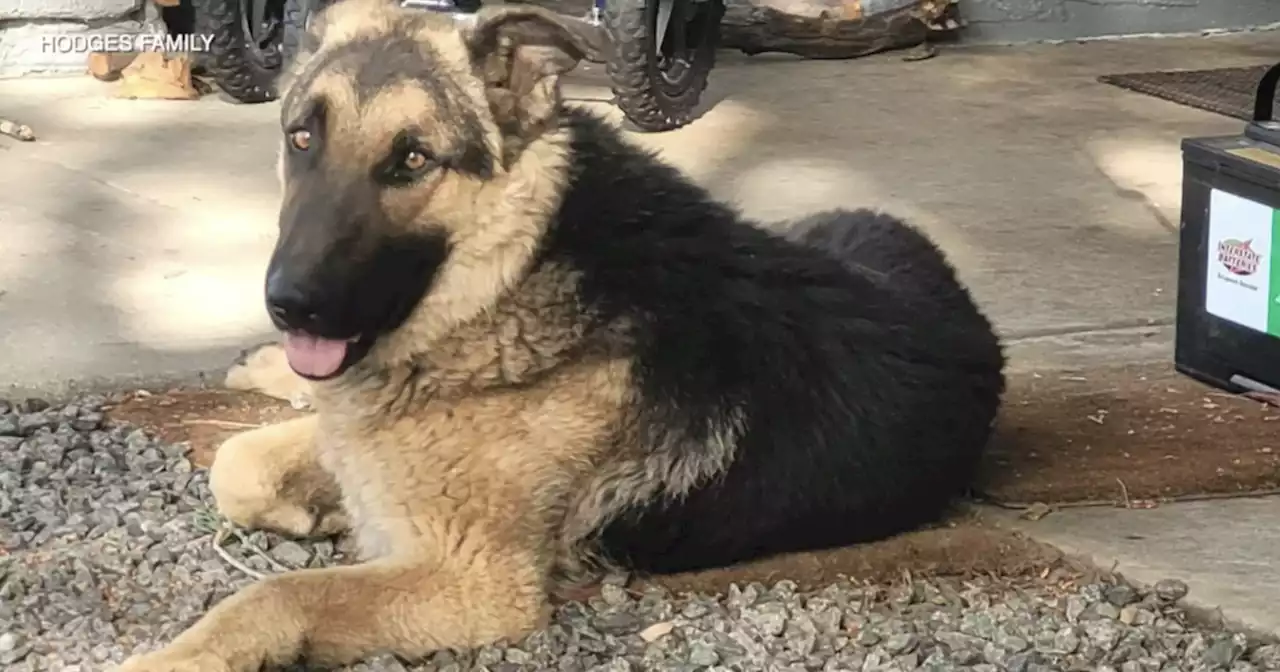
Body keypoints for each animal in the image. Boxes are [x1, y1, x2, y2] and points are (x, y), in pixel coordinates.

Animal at [117, 2, 998, 665]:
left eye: (413, 159)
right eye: (303, 137)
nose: (290, 306)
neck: (516, 264)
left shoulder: (472, 586)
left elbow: (275, 591)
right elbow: (239, 463)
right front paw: (312, 495)